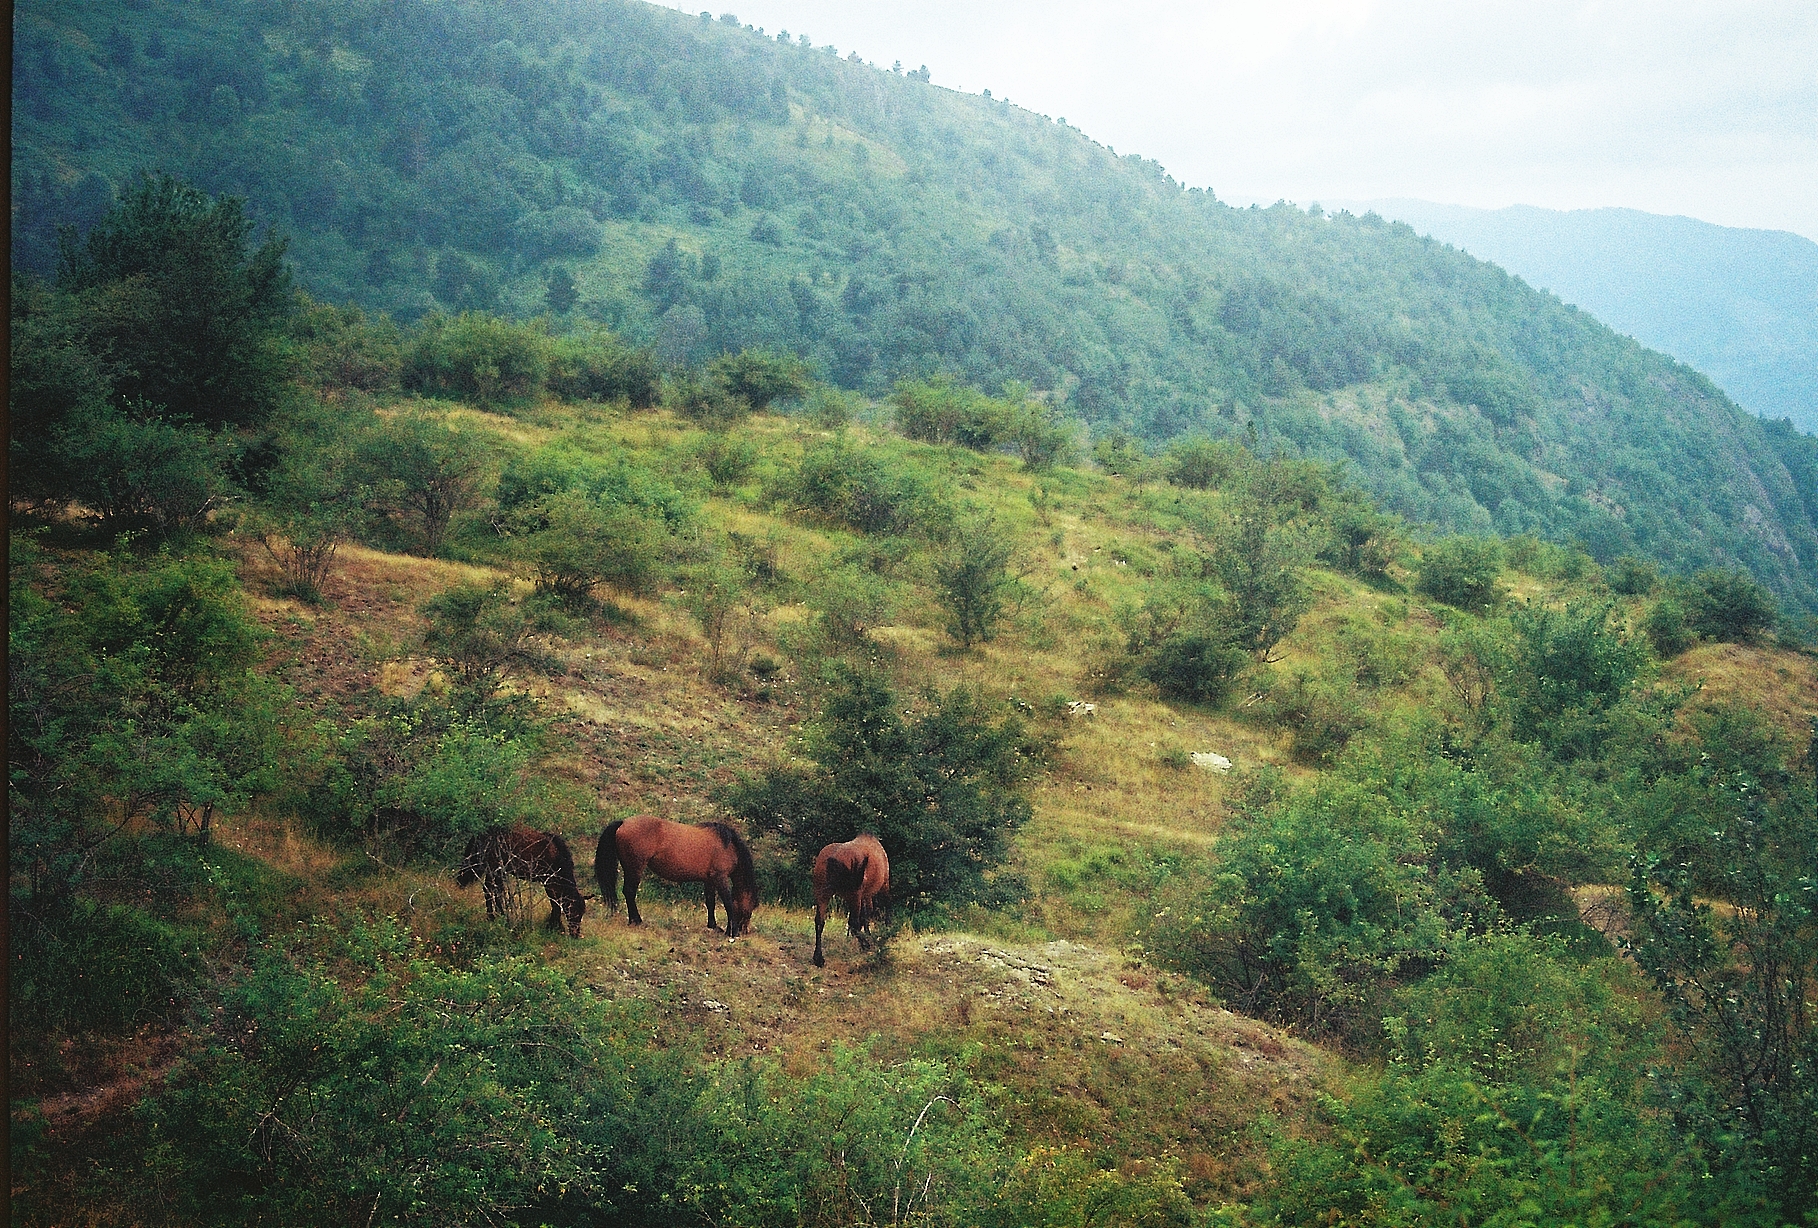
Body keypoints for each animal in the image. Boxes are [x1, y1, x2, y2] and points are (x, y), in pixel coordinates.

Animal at [457, 826, 587, 937]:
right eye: (575, 911)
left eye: (582, 913)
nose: (575, 934)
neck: (557, 857)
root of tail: (481, 834)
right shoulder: (549, 882)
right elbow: (555, 903)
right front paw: (554, 926)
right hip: (493, 868)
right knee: (489, 890)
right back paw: (492, 917)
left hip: (498, 870)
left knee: (496, 890)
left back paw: (501, 915)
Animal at [596, 816, 758, 939]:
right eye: (750, 908)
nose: (744, 930)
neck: (728, 846)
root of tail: (623, 822)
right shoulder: (720, 878)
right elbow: (728, 903)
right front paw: (732, 932)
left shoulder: (709, 880)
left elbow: (710, 902)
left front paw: (713, 926)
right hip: (635, 868)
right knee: (629, 892)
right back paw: (636, 921)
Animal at [811, 834, 890, 968]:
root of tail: (833, 858)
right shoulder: (882, 886)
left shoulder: (864, 895)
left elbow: (865, 915)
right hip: (854, 896)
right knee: (853, 924)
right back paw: (866, 945)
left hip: (823, 894)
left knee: (819, 922)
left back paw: (818, 958)